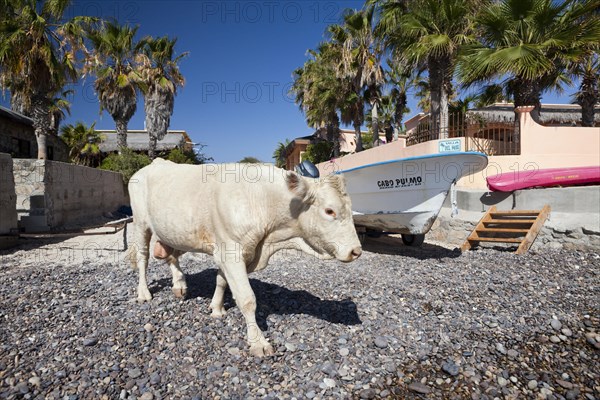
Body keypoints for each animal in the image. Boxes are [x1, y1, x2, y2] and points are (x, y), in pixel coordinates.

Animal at [127, 159, 360, 356]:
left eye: (351, 209)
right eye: (329, 211)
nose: (356, 251)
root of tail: (153, 164)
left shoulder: (228, 251)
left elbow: (221, 281)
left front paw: (217, 308)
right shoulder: (232, 251)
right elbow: (247, 299)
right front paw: (258, 342)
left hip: (174, 231)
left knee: (172, 256)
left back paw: (179, 285)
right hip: (140, 224)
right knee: (143, 258)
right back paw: (143, 292)